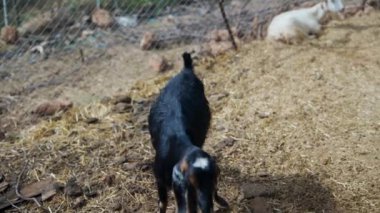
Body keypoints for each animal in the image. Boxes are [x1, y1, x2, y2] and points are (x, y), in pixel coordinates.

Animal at [148, 52, 229, 212]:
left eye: (214, 181)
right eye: (193, 181)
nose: (206, 208)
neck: (176, 145)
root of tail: (186, 70)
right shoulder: (161, 180)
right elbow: (162, 203)